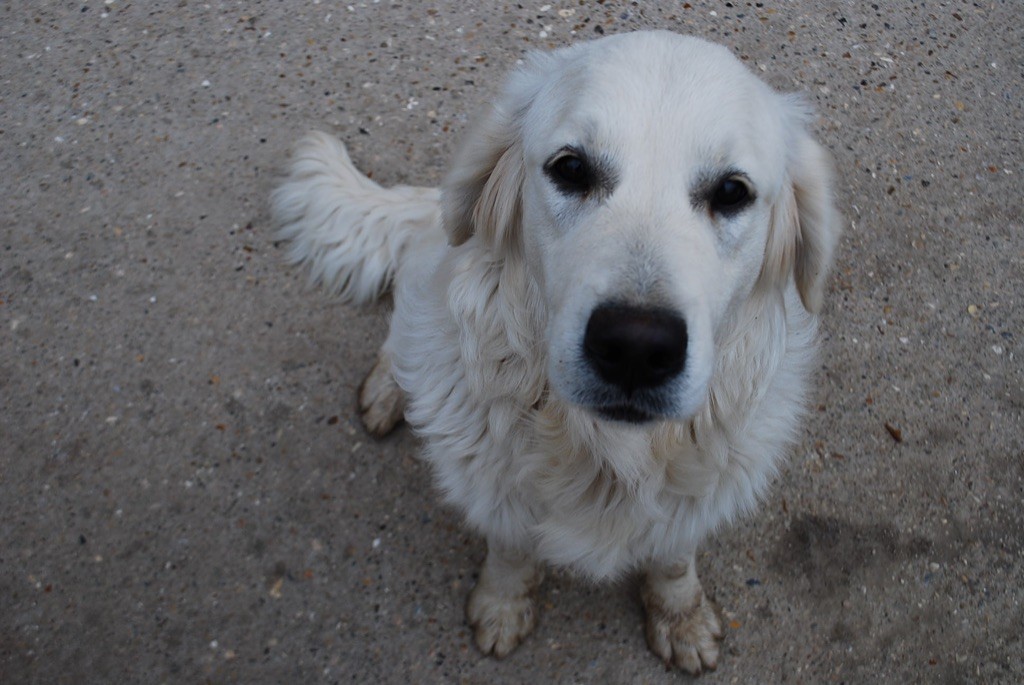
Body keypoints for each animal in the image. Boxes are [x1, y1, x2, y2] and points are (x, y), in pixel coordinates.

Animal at [272, 30, 839, 671]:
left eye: (730, 191)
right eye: (571, 168)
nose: (636, 347)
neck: (605, 453)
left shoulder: (694, 501)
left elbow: (671, 561)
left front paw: (682, 618)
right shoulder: (496, 491)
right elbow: (511, 553)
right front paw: (502, 606)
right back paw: (389, 389)